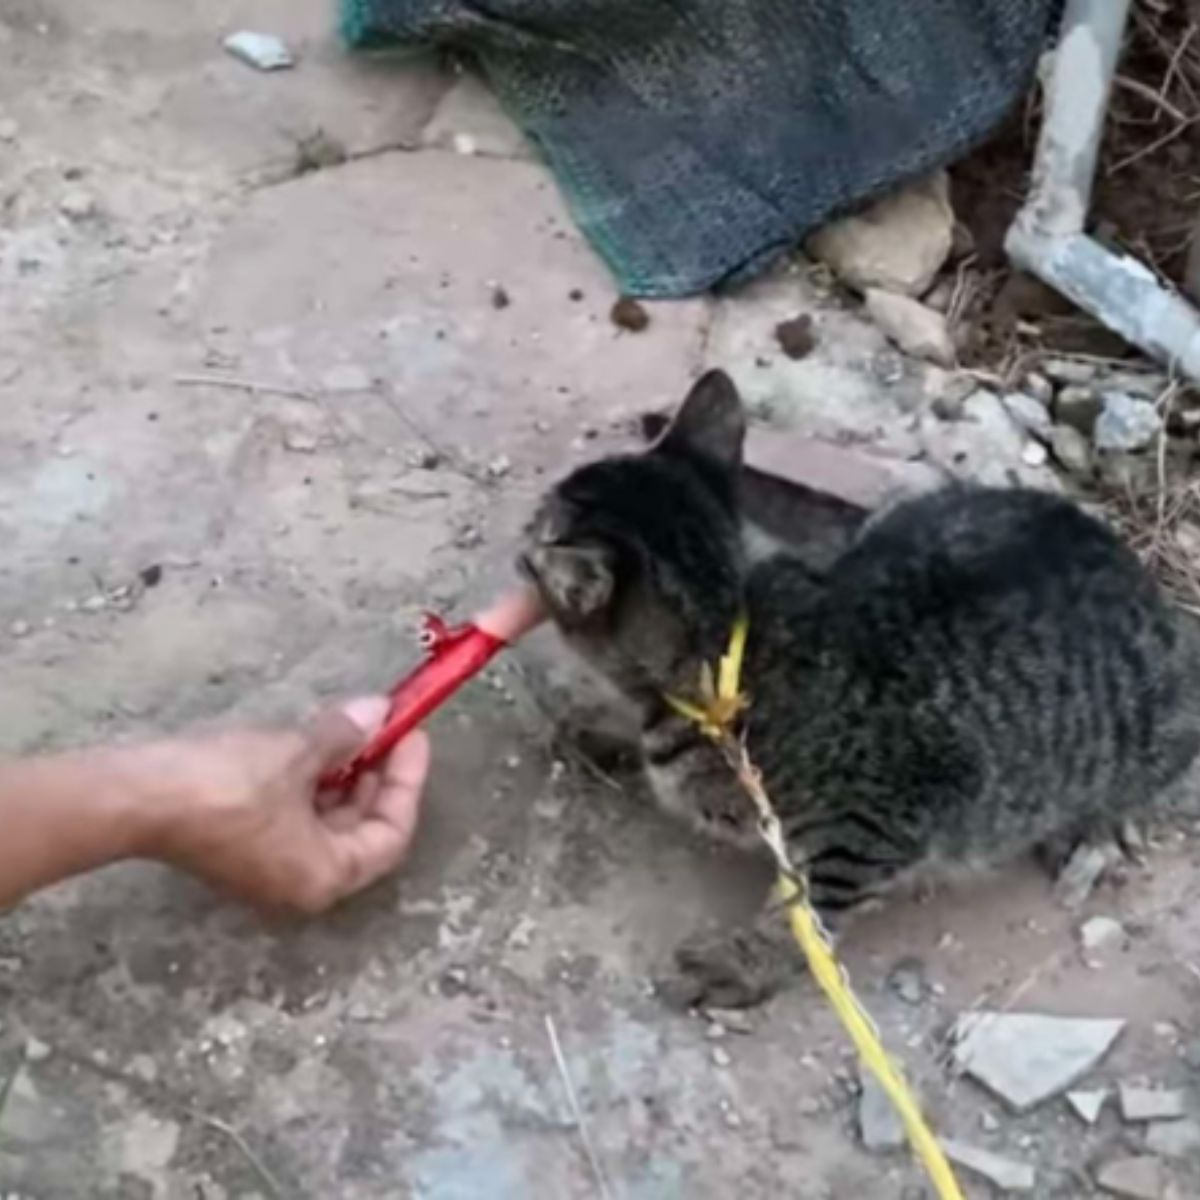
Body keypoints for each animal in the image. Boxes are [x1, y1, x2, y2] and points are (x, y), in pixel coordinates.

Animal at [520, 369, 1200, 1008]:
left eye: (534, 532)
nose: (524, 534)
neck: (727, 645)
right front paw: (602, 732)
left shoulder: (869, 832)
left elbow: (806, 917)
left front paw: (738, 964)